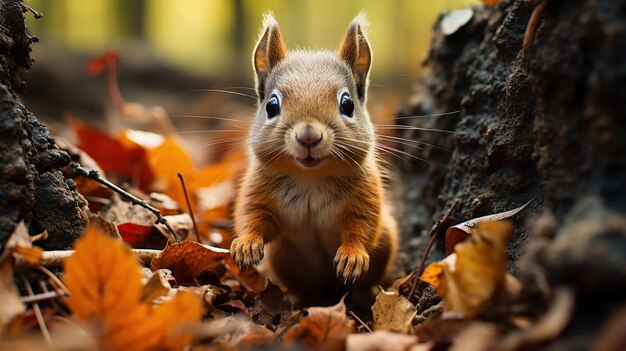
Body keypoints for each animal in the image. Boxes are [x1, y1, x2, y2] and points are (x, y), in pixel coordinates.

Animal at [228, 14, 394, 306]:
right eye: (271, 106)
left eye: (348, 105)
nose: (308, 137)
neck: (310, 179)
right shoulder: (257, 190)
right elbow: (252, 215)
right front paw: (246, 244)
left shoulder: (366, 195)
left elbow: (363, 225)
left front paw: (352, 255)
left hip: (387, 240)